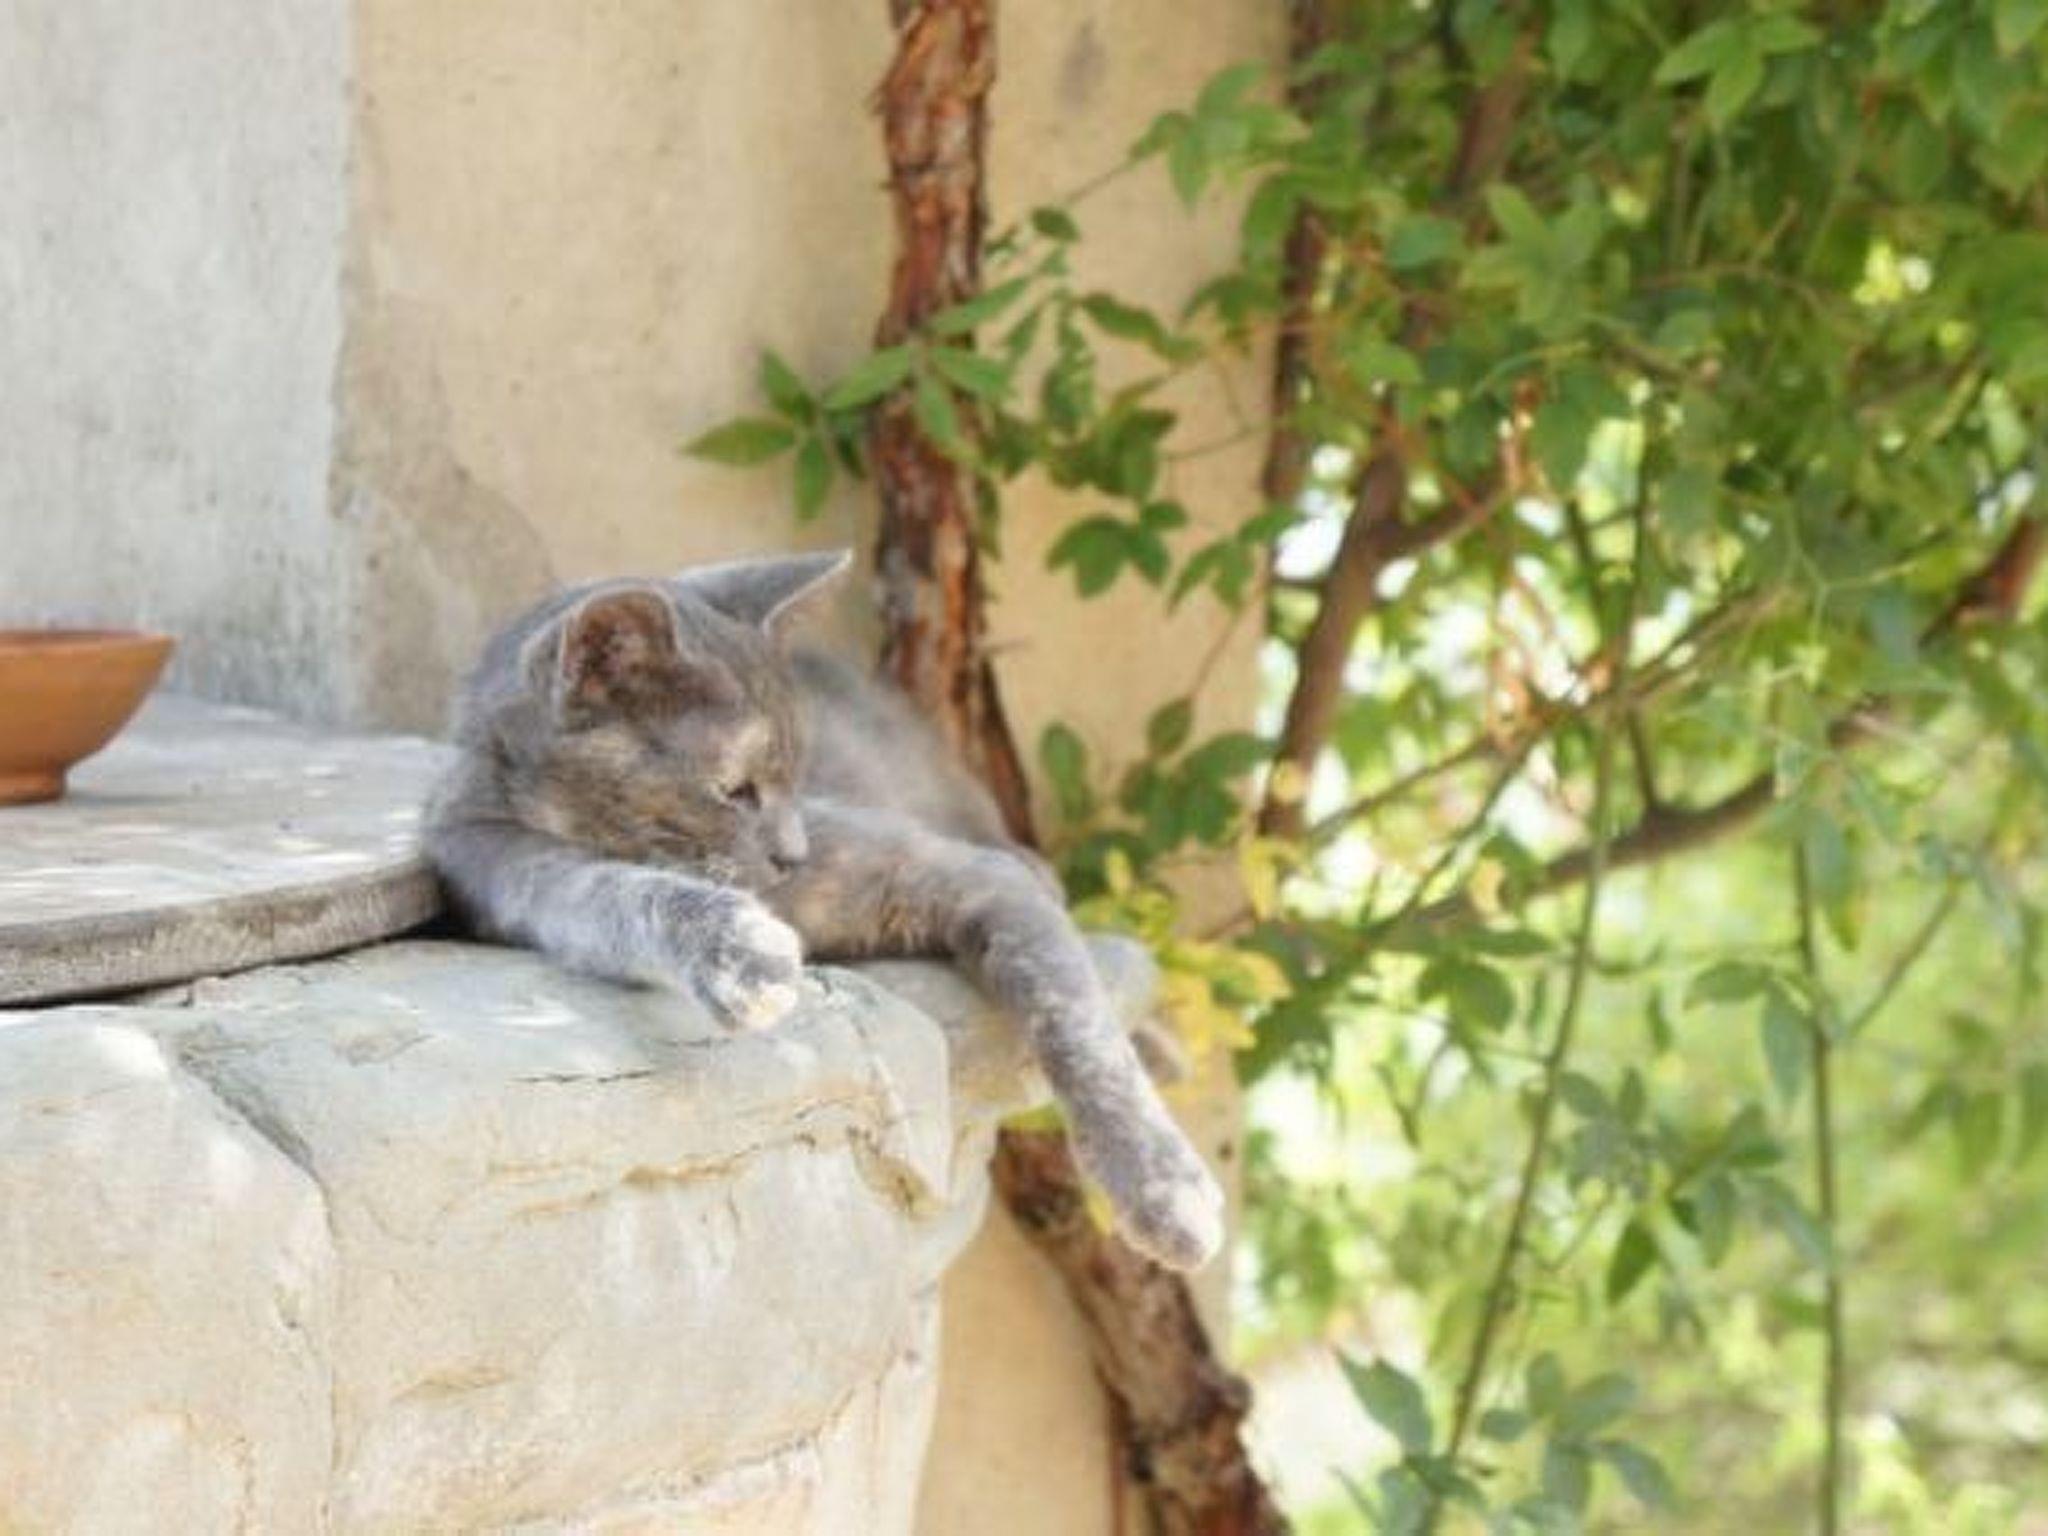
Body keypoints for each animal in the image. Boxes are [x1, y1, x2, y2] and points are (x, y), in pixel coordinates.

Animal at [424, 550, 1224, 1271]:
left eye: (800, 776)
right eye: (736, 790)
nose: (795, 852)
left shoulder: (965, 877)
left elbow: (1075, 1020)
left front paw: (1168, 1195)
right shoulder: (512, 867)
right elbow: (630, 900)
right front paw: (742, 955)